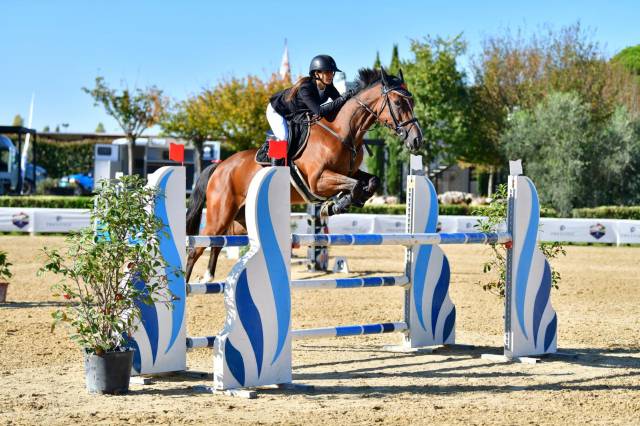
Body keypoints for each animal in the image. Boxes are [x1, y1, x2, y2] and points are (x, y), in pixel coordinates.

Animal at [185, 66, 423, 282]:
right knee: (197, 247)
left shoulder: (352, 172)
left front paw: (345, 202)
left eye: (412, 103)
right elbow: (354, 185)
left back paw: (208, 277)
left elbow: (371, 181)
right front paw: (335, 204)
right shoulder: (318, 181)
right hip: (220, 213)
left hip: (238, 221)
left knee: (218, 243)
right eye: (399, 103)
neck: (342, 132)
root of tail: (220, 166)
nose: (416, 140)